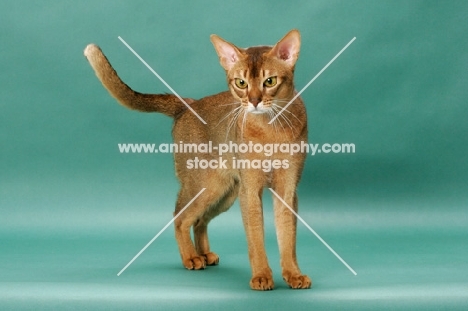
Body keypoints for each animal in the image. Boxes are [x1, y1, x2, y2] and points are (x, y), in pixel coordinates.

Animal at [84, 29, 310, 290]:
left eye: (270, 81)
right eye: (241, 83)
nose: (254, 101)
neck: (270, 128)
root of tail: (188, 104)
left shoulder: (287, 188)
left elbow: (288, 236)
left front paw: (293, 274)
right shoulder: (251, 190)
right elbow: (255, 237)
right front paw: (262, 276)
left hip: (227, 192)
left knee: (199, 220)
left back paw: (204, 254)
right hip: (207, 186)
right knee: (180, 217)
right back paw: (191, 257)